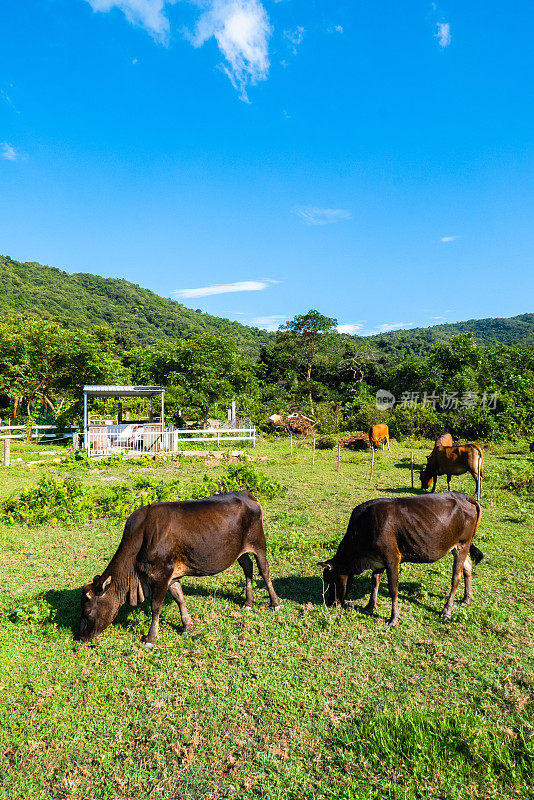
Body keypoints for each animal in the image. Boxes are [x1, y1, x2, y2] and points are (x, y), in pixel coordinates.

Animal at [320, 494, 488, 624]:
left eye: (330, 580)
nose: (332, 603)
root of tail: (465, 497)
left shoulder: (392, 559)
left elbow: (393, 589)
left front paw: (393, 618)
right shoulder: (377, 561)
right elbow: (375, 582)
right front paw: (369, 607)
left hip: (462, 544)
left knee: (456, 577)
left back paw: (446, 610)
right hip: (458, 546)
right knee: (468, 567)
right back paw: (466, 599)